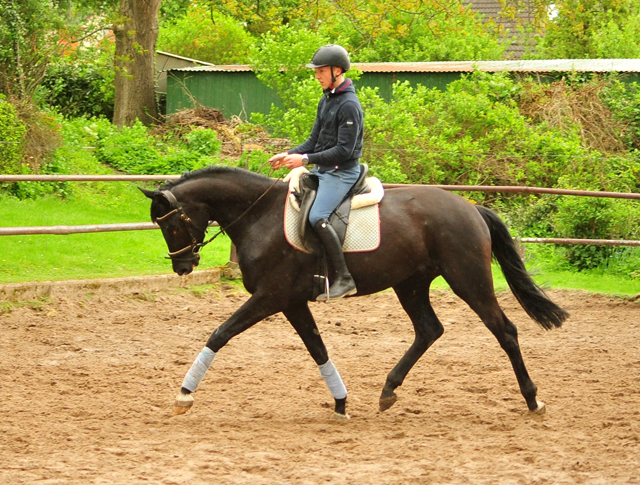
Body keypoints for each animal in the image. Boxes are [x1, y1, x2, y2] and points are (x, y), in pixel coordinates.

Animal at [141, 165, 568, 416]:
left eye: (172, 224)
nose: (182, 267)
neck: (260, 216)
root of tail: (470, 208)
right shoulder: (291, 302)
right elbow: (317, 348)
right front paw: (341, 401)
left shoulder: (270, 297)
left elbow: (220, 333)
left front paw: (185, 394)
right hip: (410, 284)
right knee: (429, 330)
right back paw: (388, 390)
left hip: (468, 280)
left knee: (504, 331)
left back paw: (532, 399)